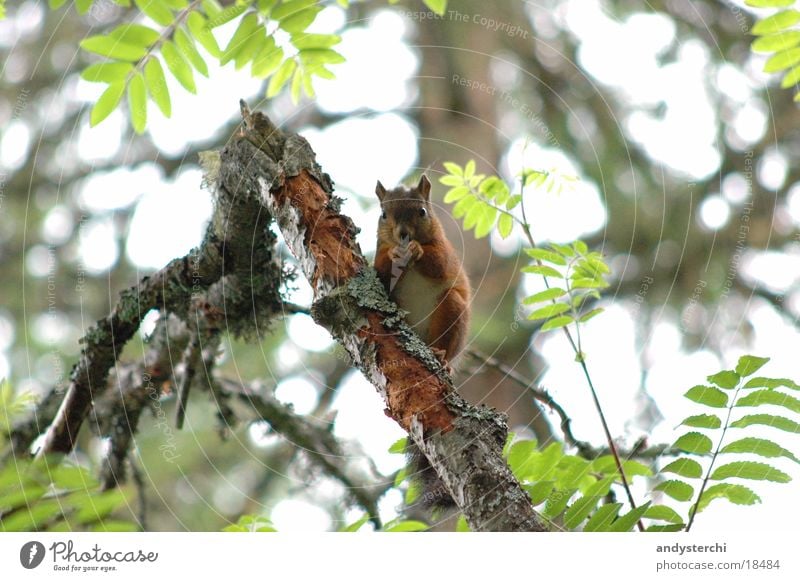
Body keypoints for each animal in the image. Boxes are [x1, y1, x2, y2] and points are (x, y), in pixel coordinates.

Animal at [374, 172, 472, 364]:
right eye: (383, 214)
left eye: (422, 211)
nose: (403, 233)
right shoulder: (379, 253)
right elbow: (380, 270)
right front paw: (394, 253)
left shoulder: (443, 249)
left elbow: (440, 263)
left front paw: (416, 249)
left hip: (452, 308)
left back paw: (441, 355)